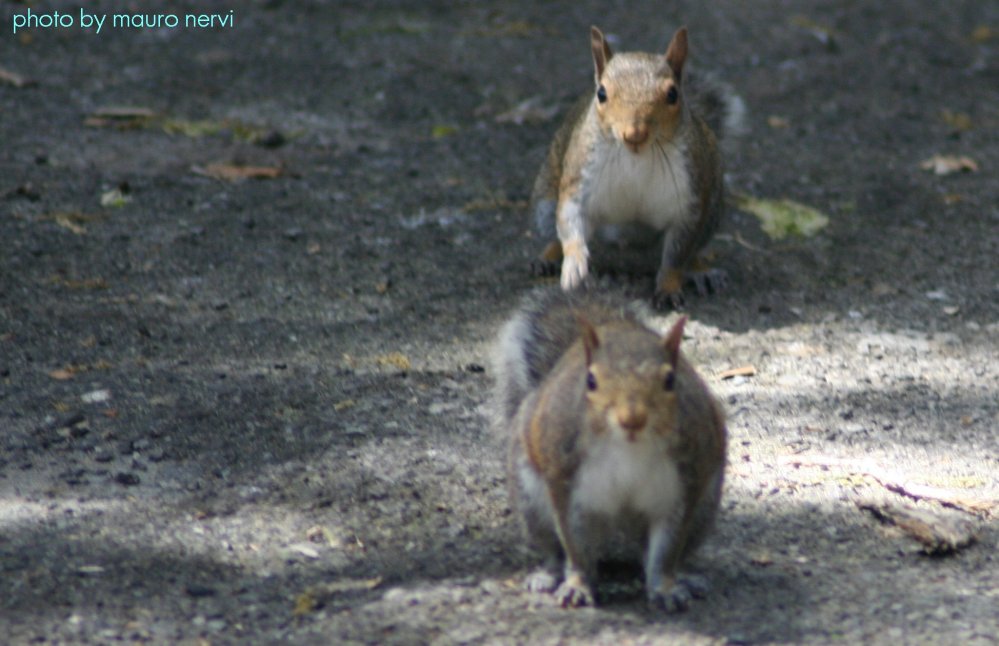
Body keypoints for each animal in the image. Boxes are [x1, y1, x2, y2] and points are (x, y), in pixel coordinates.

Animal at [492, 290, 728, 612]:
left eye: (670, 380)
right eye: (590, 380)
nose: (632, 419)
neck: (628, 448)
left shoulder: (683, 486)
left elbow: (666, 551)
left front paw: (666, 588)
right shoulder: (566, 483)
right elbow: (576, 548)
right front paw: (577, 586)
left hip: (704, 508)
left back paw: (687, 576)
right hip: (531, 502)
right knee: (554, 549)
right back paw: (547, 576)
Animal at [532, 28, 744, 314]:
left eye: (673, 94)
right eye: (601, 93)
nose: (634, 134)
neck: (636, 157)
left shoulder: (689, 202)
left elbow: (677, 256)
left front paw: (668, 288)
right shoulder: (578, 177)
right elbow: (569, 219)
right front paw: (574, 265)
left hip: (711, 214)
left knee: (691, 251)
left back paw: (702, 271)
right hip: (545, 202)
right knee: (554, 232)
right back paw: (549, 258)